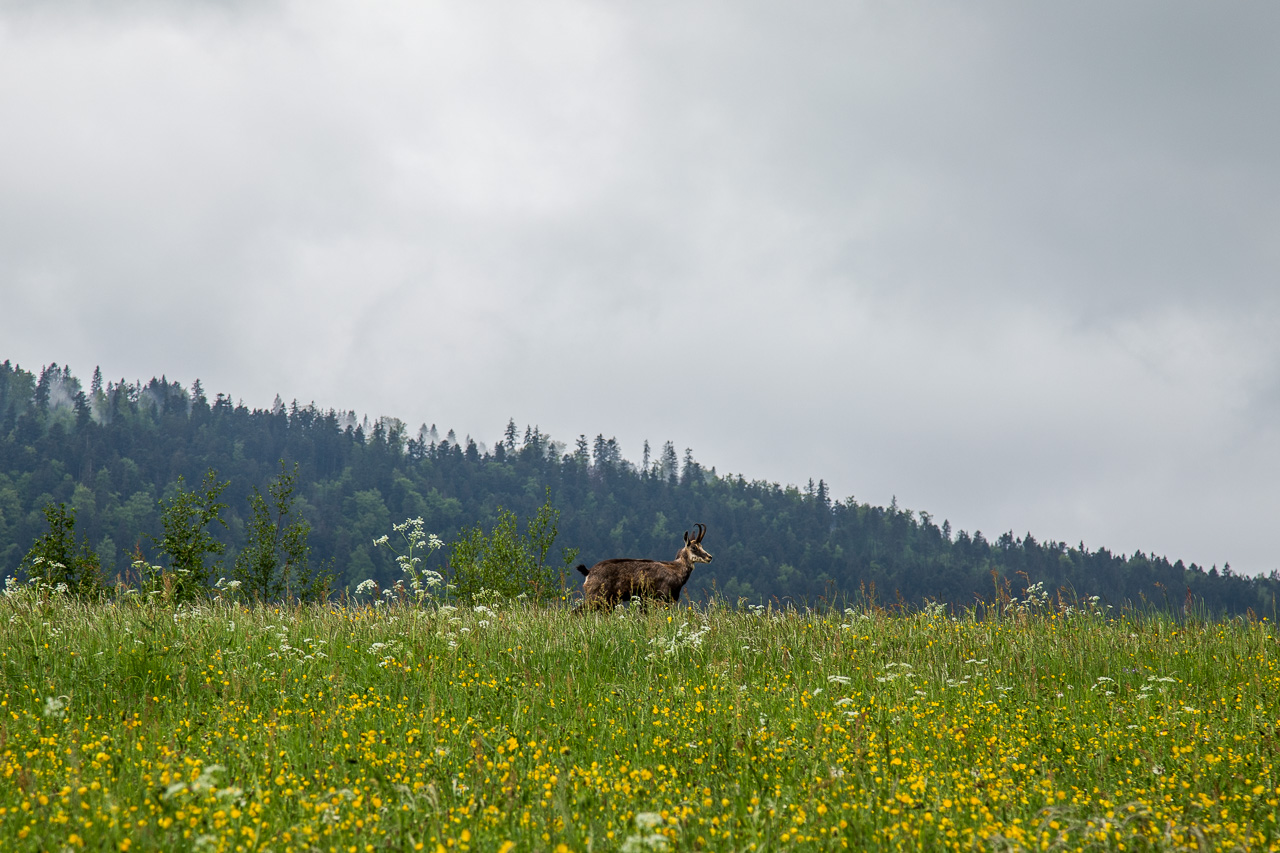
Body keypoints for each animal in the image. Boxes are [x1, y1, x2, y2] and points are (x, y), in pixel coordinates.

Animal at [575, 523, 713, 610]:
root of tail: (588, 572)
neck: (676, 570)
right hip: (596, 598)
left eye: (701, 546)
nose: (709, 557)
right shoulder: (660, 598)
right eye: (694, 548)